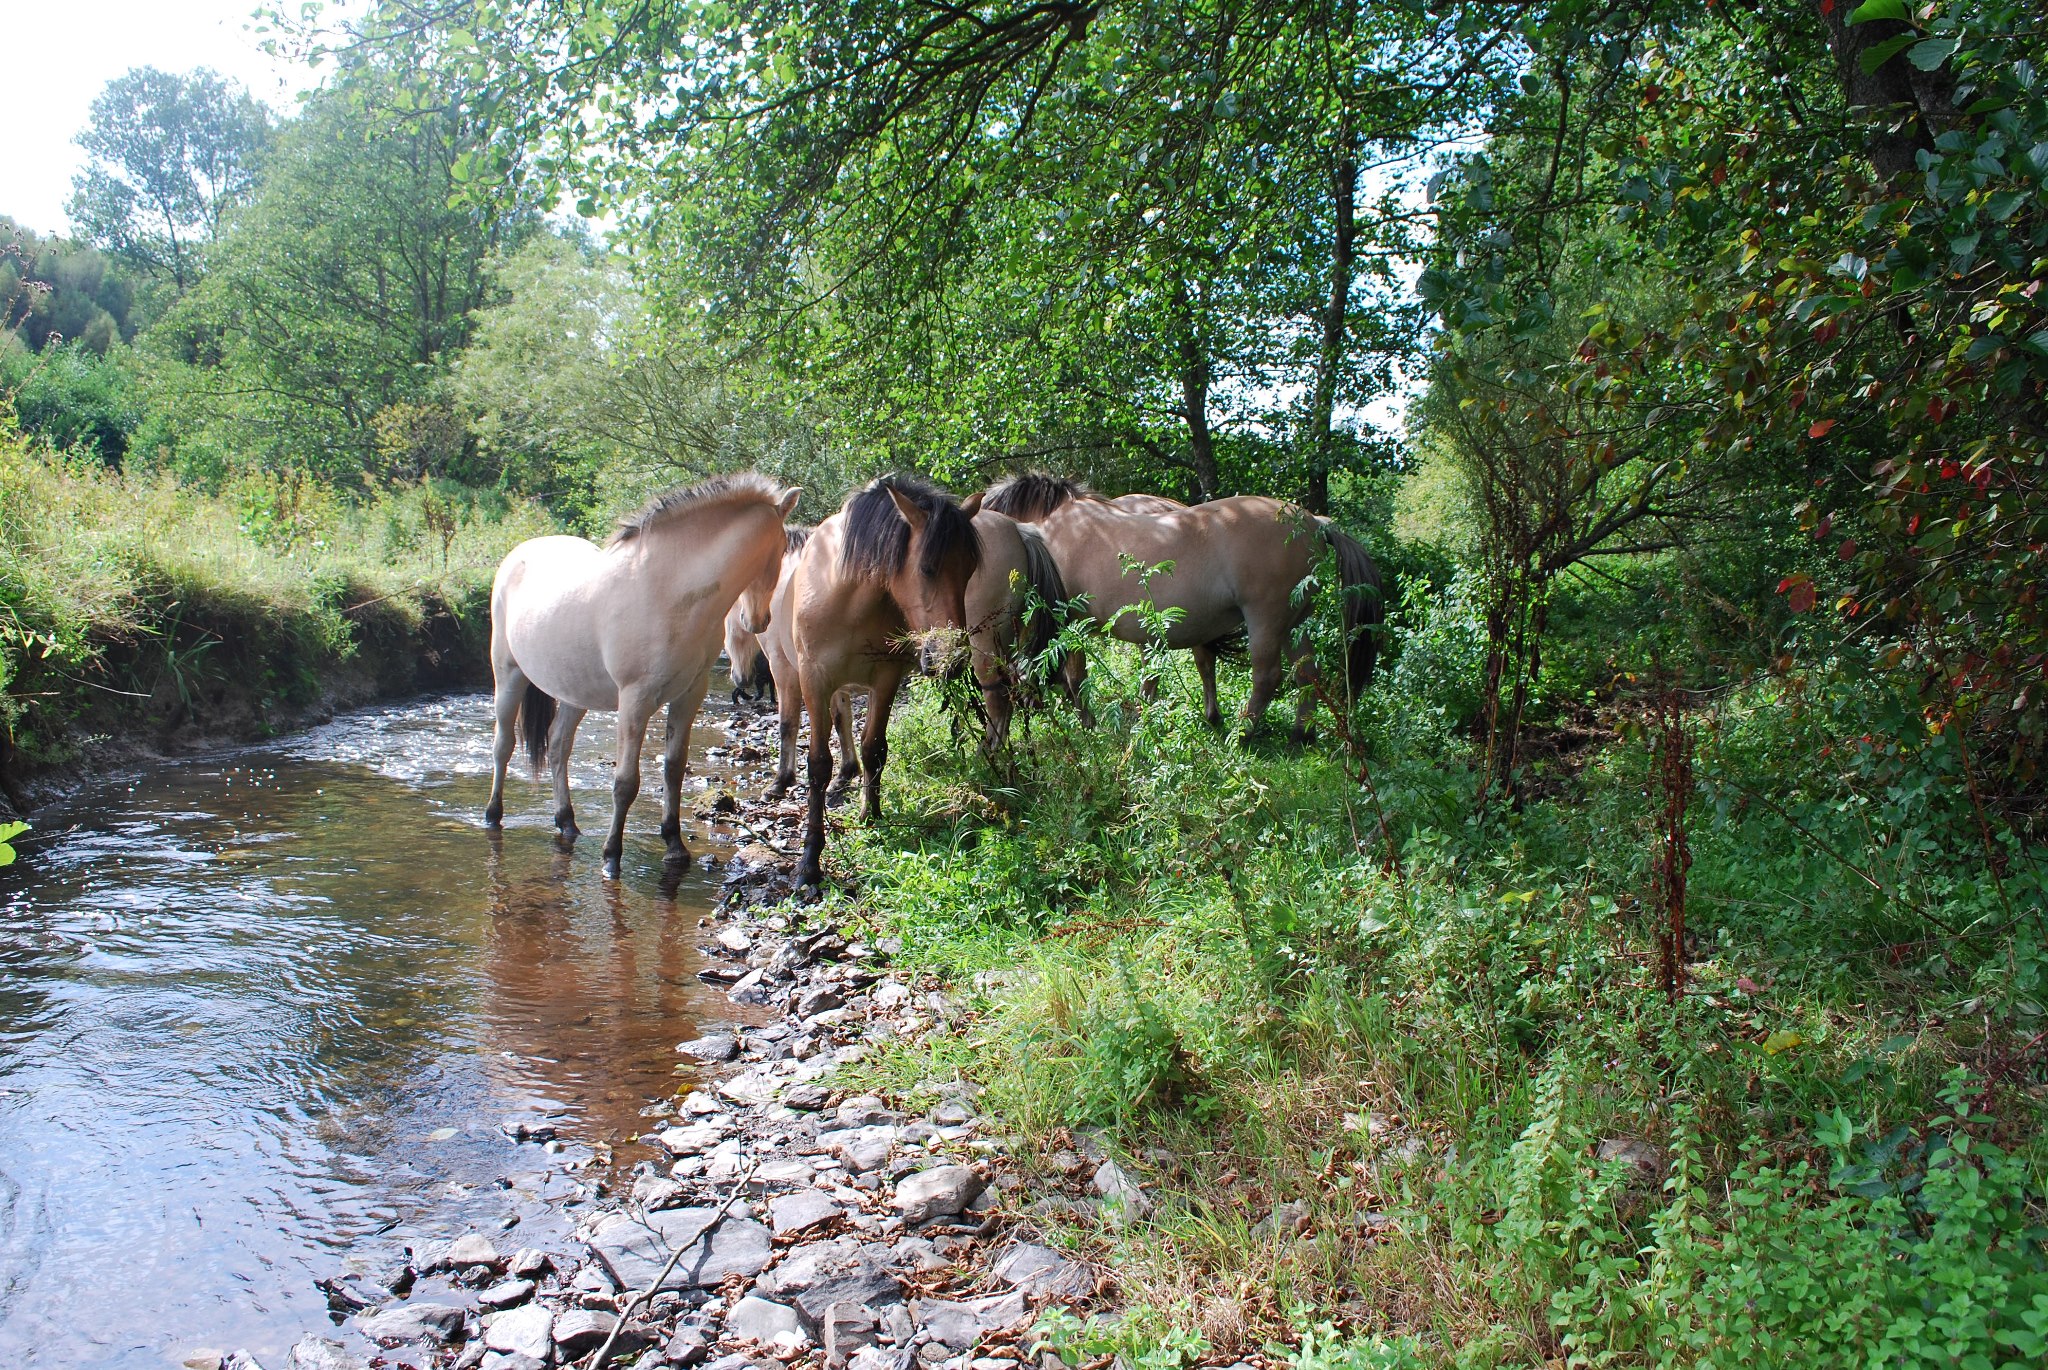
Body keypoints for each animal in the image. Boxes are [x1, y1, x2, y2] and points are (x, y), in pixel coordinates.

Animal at [485, 471, 798, 876]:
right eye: (780, 551)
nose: (757, 621)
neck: (668, 591)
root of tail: (518, 554)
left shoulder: (689, 695)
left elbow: (674, 770)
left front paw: (674, 844)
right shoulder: (634, 700)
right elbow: (625, 783)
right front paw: (611, 857)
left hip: (574, 692)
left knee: (557, 747)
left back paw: (566, 821)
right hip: (508, 675)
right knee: (503, 745)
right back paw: (493, 815)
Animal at [782, 479, 983, 888]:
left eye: (970, 569)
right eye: (927, 568)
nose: (952, 658)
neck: (848, 598)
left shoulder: (886, 679)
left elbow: (874, 748)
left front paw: (871, 816)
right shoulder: (814, 680)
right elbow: (818, 764)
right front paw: (809, 862)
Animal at [983, 475, 1384, 741]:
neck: (1052, 532)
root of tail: (1315, 523)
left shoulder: (1070, 624)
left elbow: (1075, 680)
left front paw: (1090, 728)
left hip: (1266, 621)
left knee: (1267, 677)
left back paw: (1242, 734)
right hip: (1291, 624)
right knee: (1308, 675)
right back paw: (1301, 734)